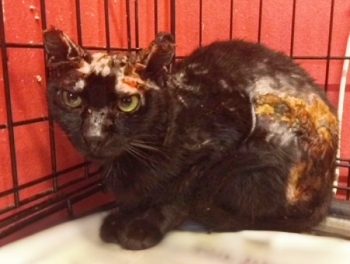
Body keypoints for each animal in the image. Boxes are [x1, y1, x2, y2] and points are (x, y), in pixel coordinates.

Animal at [42, 27, 338, 252]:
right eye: (72, 98)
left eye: (127, 103)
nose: (94, 135)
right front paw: (121, 216)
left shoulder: (223, 137)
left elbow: (181, 193)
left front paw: (144, 226)